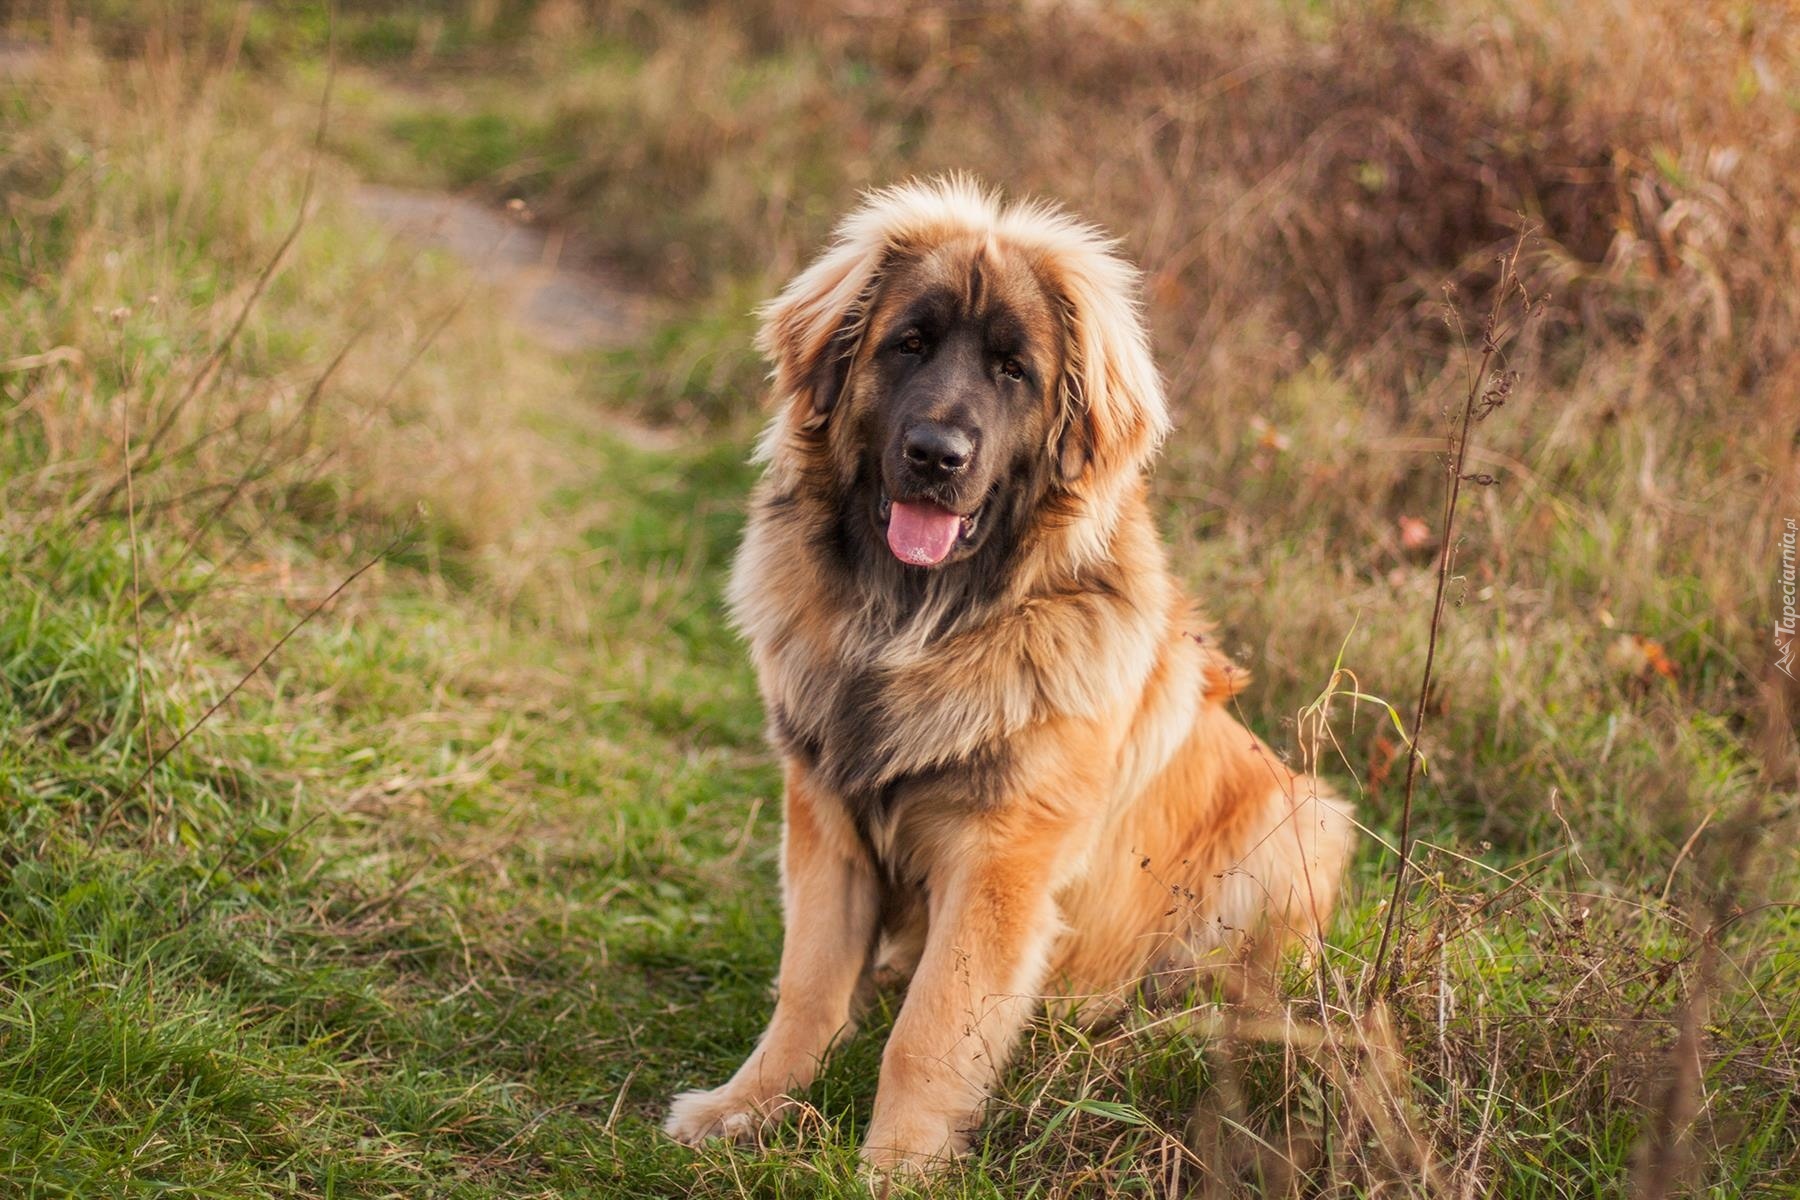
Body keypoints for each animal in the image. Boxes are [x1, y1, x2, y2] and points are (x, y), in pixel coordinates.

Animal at [662, 176, 1353, 1173]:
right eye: (908, 344)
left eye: (1012, 371)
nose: (935, 455)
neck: (919, 621)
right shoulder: (826, 822)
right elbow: (808, 986)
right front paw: (746, 1106)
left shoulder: (1001, 860)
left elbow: (931, 1028)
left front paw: (897, 1165)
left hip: (1298, 822)